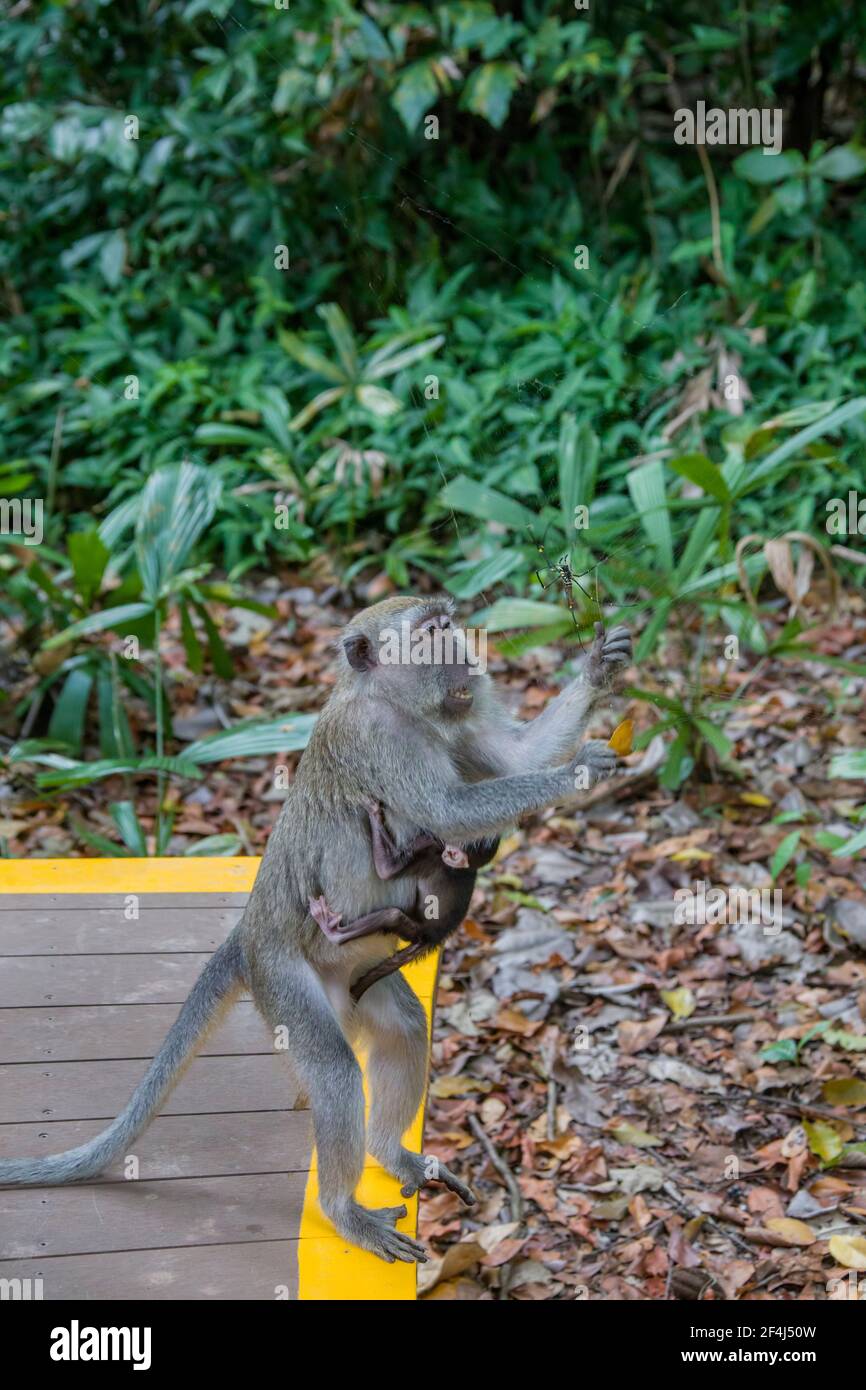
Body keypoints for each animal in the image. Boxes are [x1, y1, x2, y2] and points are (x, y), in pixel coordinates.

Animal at [309, 800, 500, 1006]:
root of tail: (434, 937)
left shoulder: (430, 849)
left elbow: (387, 870)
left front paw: (374, 812)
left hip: (415, 930)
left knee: (393, 916)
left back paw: (333, 932)